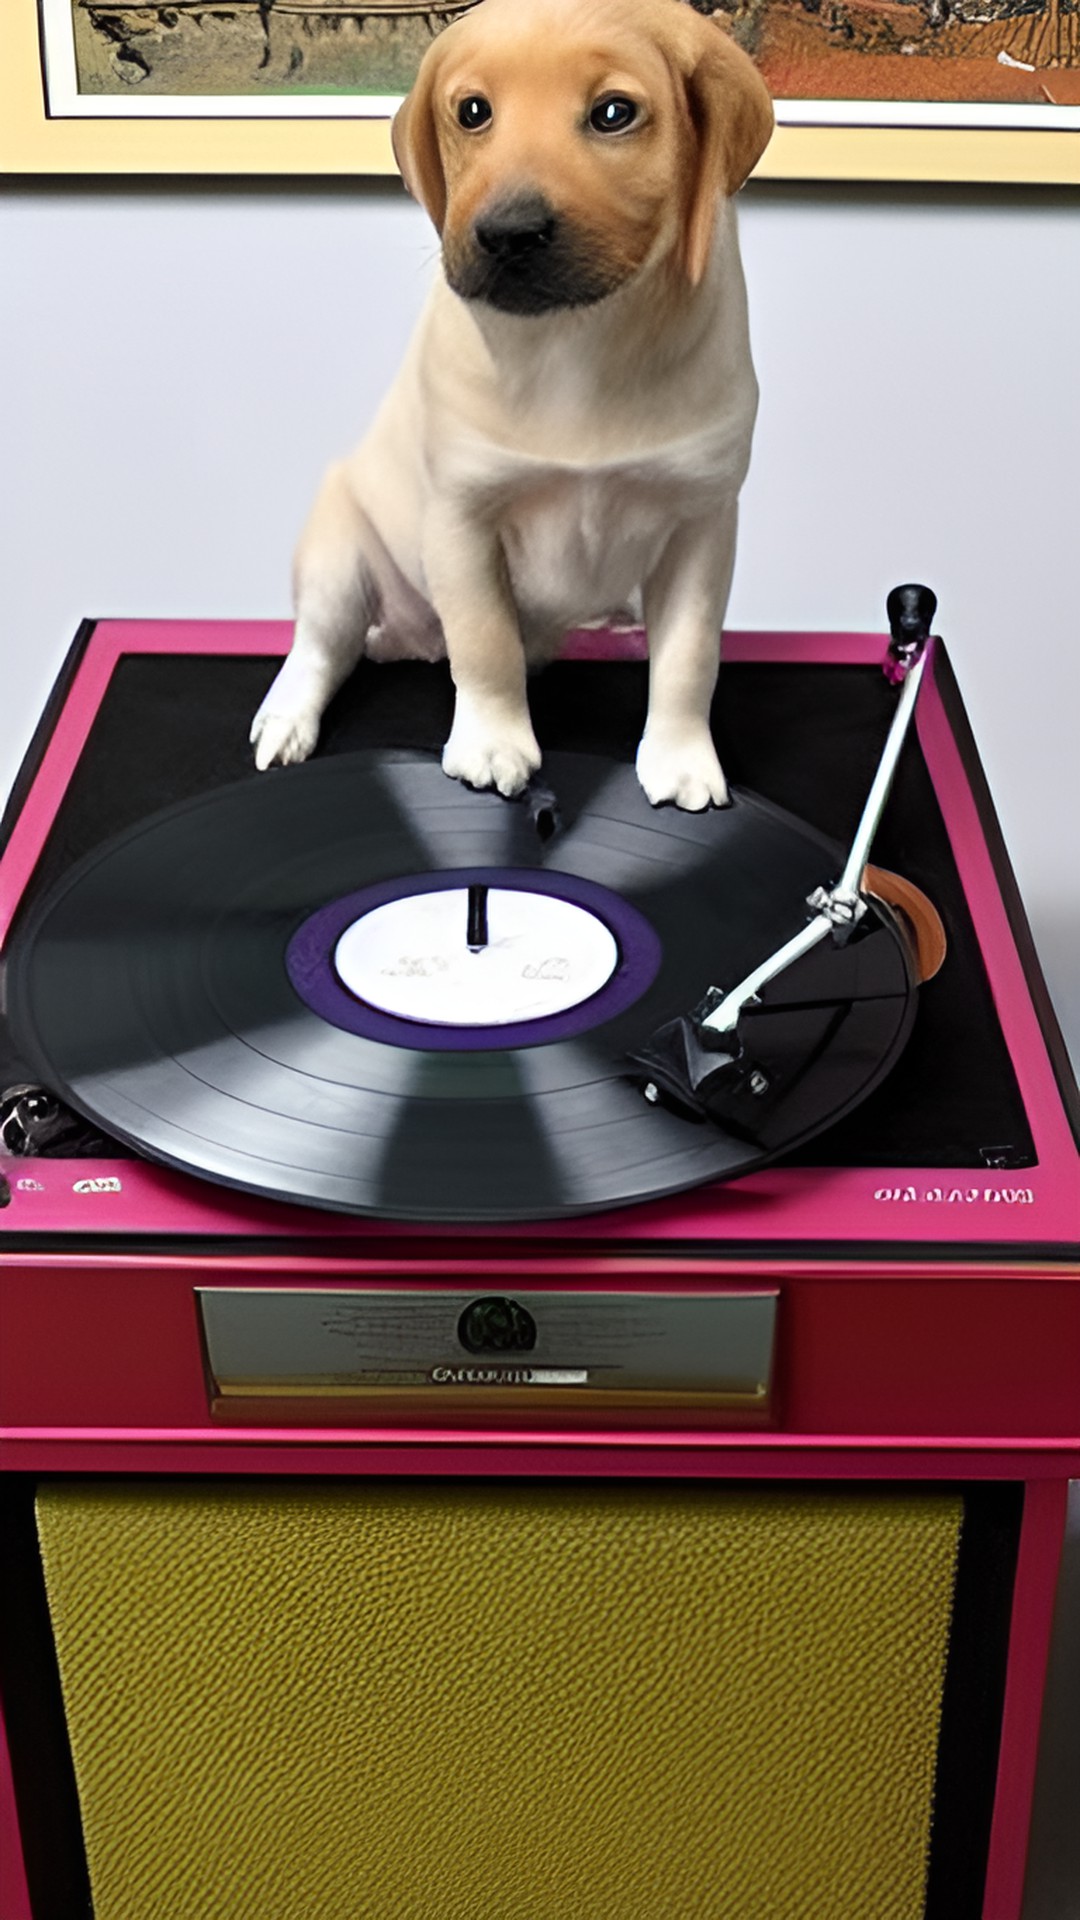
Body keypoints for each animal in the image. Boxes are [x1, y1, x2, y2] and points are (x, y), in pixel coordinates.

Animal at [249, 0, 772, 810]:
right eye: (472, 112)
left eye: (614, 113)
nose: (508, 234)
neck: (577, 340)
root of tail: (409, 641)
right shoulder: (462, 516)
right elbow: (484, 642)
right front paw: (493, 743)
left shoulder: (703, 522)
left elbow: (690, 656)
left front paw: (682, 756)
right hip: (337, 553)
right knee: (320, 647)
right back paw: (286, 722)